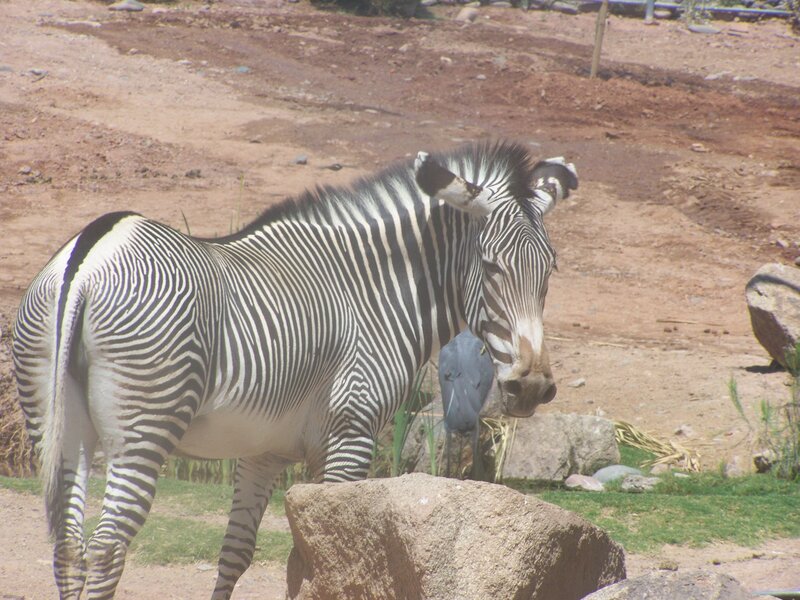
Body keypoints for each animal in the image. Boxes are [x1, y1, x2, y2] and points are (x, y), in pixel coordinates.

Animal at [12, 141, 577, 599]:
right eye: (490, 267)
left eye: (549, 271)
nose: (531, 386)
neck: (370, 290)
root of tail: (91, 252)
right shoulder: (351, 434)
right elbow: (331, 558)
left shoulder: (264, 451)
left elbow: (238, 553)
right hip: (143, 430)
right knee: (107, 547)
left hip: (58, 428)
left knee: (68, 545)